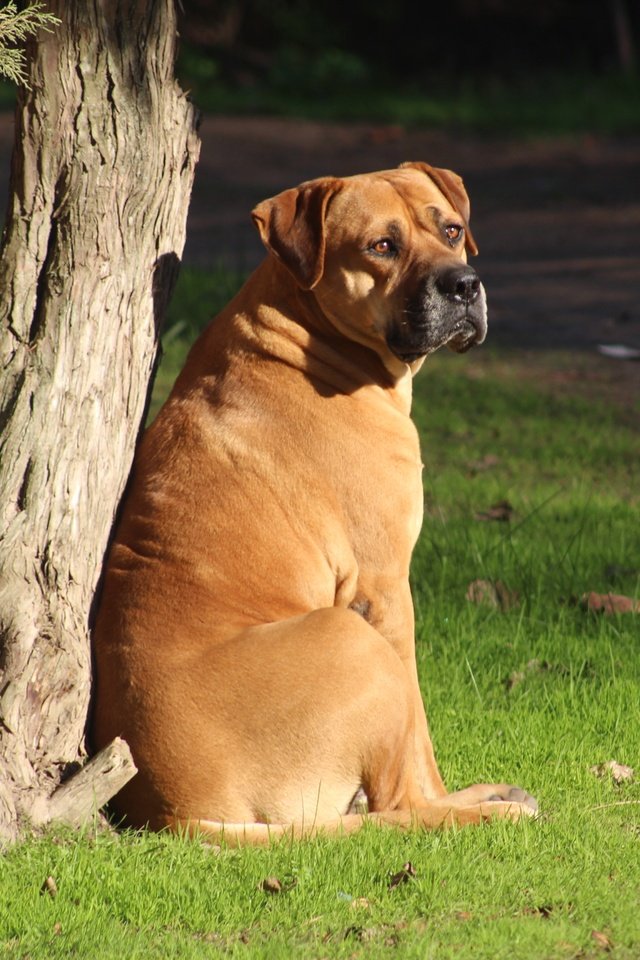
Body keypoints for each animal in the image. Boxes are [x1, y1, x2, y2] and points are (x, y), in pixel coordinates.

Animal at [92, 161, 536, 844]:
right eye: (382, 246)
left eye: (452, 230)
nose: (464, 285)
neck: (308, 331)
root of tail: (178, 814)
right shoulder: (385, 589)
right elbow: (421, 737)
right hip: (352, 640)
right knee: (400, 804)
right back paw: (485, 810)